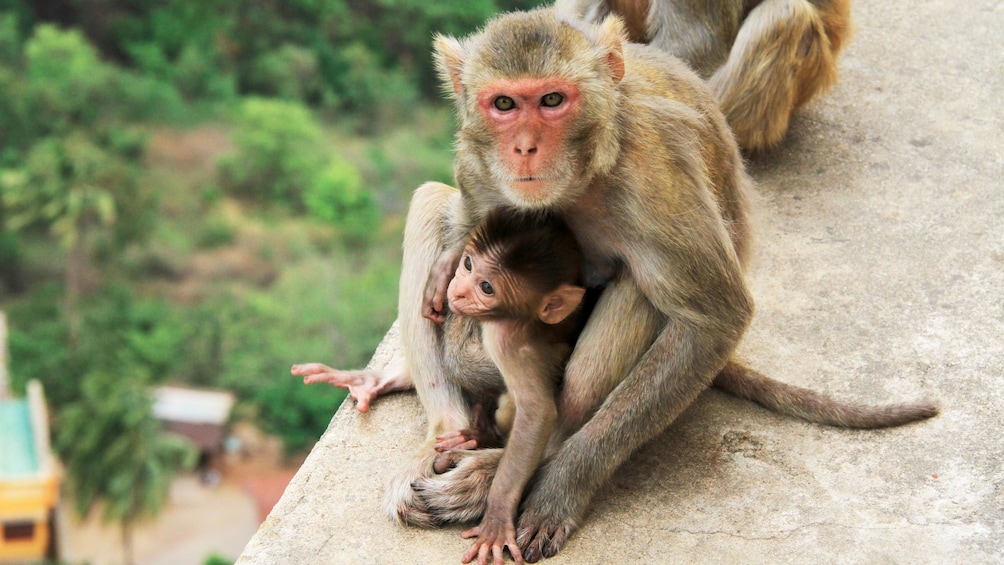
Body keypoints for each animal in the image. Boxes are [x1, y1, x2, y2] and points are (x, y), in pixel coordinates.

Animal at [443, 208, 586, 565]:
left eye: (486, 287)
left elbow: (536, 412)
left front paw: (496, 519)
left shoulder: (504, 339)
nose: (459, 290)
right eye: (468, 264)